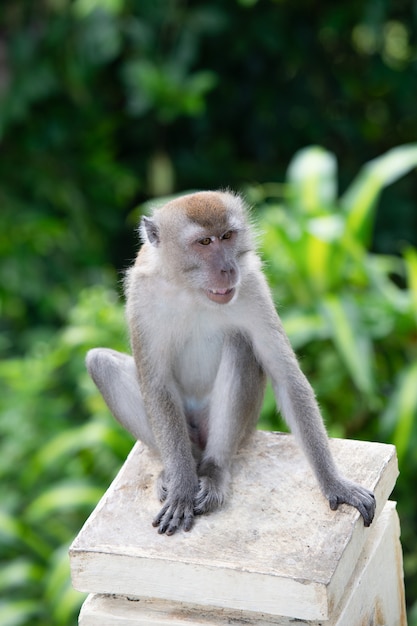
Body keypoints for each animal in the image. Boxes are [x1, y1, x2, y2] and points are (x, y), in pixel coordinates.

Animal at [86, 188, 376, 532]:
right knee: (100, 363)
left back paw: (213, 471)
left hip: (241, 427)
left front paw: (335, 484)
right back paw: (178, 471)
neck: (192, 290)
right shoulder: (142, 296)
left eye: (227, 236)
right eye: (204, 242)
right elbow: (155, 385)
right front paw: (182, 489)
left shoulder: (252, 284)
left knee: (241, 344)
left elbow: (287, 378)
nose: (226, 268)